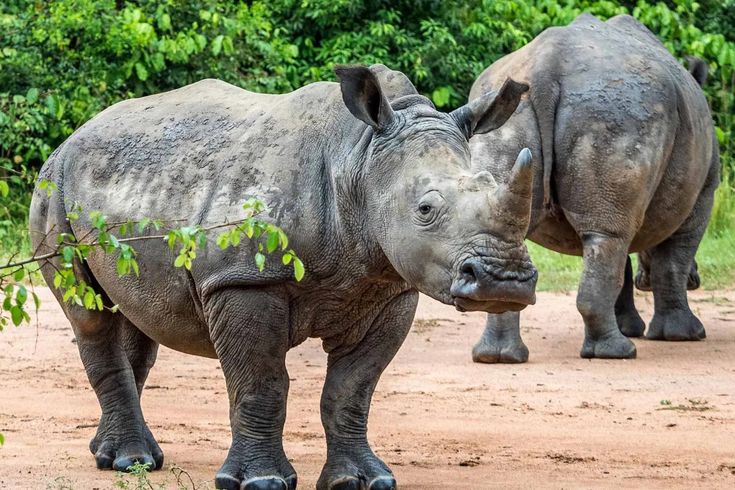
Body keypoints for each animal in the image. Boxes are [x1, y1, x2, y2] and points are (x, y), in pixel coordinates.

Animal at [29, 64, 538, 489]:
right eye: (426, 210)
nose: (504, 281)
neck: (359, 157)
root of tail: (73, 136)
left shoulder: (389, 289)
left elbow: (352, 390)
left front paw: (362, 481)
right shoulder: (243, 280)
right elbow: (262, 383)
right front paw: (262, 482)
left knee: (137, 315)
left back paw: (117, 455)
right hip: (53, 187)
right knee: (90, 316)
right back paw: (130, 460)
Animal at [467, 14, 719, 362]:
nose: (697, 280)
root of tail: (545, 67)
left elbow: (624, 263)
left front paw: (632, 326)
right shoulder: (703, 194)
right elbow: (673, 260)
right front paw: (683, 335)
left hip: (508, 110)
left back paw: (498, 357)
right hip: (620, 110)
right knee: (610, 236)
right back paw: (618, 353)